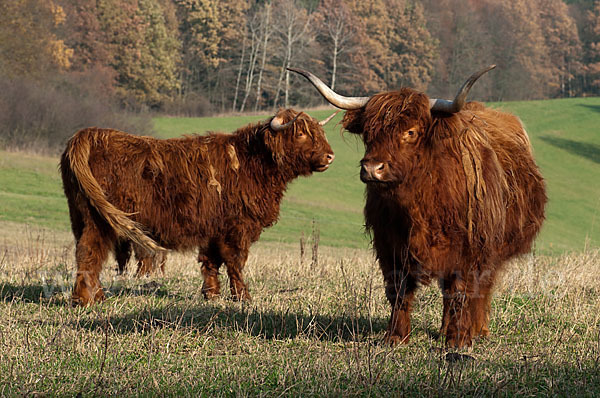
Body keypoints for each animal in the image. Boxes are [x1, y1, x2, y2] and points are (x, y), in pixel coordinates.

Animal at [59, 108, 338, 304]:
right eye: (300, 133)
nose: (330, 156)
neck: (253, 162)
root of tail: (88, 135)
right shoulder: (237, 226)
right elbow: (235, 261)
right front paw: (243, 297)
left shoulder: (215, 227)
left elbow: (211, 261)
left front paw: (212, 294)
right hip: (99, 219)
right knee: (90, 252)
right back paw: (87, 300)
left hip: (80, 215)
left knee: (86, 252)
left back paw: (94, 295)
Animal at [290, 67, 548, 346]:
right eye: (369, 132)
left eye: (411, 132)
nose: (372, 168)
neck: (418, 207)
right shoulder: (390, 245)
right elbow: (399, 291)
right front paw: (396, 336)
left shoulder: (469, 249)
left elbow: (461, 292)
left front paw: (458, 340)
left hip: (494, 249)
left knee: (482, 288)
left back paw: (477, 330)